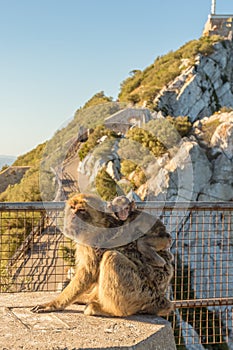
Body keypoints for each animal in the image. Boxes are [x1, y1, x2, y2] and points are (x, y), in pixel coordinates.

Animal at [31, 193, 173, 318]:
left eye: (82, 210)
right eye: (72, 208)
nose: (73, 216)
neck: (95, 226)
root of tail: (162, 302)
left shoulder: (91, 243)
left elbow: (88, 273)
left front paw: (54, 304)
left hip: (141, 293)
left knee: (112, 257)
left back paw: (110, 311)